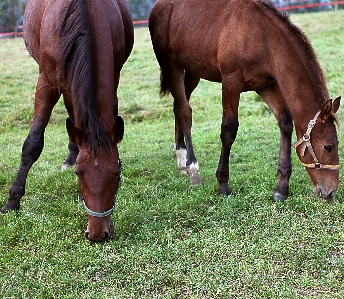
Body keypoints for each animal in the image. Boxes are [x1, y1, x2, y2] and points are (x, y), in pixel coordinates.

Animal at [1, 0, 133, 241]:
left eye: (116, 173)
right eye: (78, 173)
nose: (97, 233)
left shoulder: (114, 76)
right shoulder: (46, 82)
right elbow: (32, 144)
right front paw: (12, 201)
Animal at [149, 0, 340, 202]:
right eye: (328, 147)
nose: (331, 192)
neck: (263, 38)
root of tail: (158, 6)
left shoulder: (266, 85)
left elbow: (285, 122)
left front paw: (281, 188)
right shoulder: (231, 81)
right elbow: (229, 129)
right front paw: (223, 184)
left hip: (193, 70)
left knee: (179, 106)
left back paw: (181, 160)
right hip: (172, 66)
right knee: (185, 111)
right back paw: (192, 168)